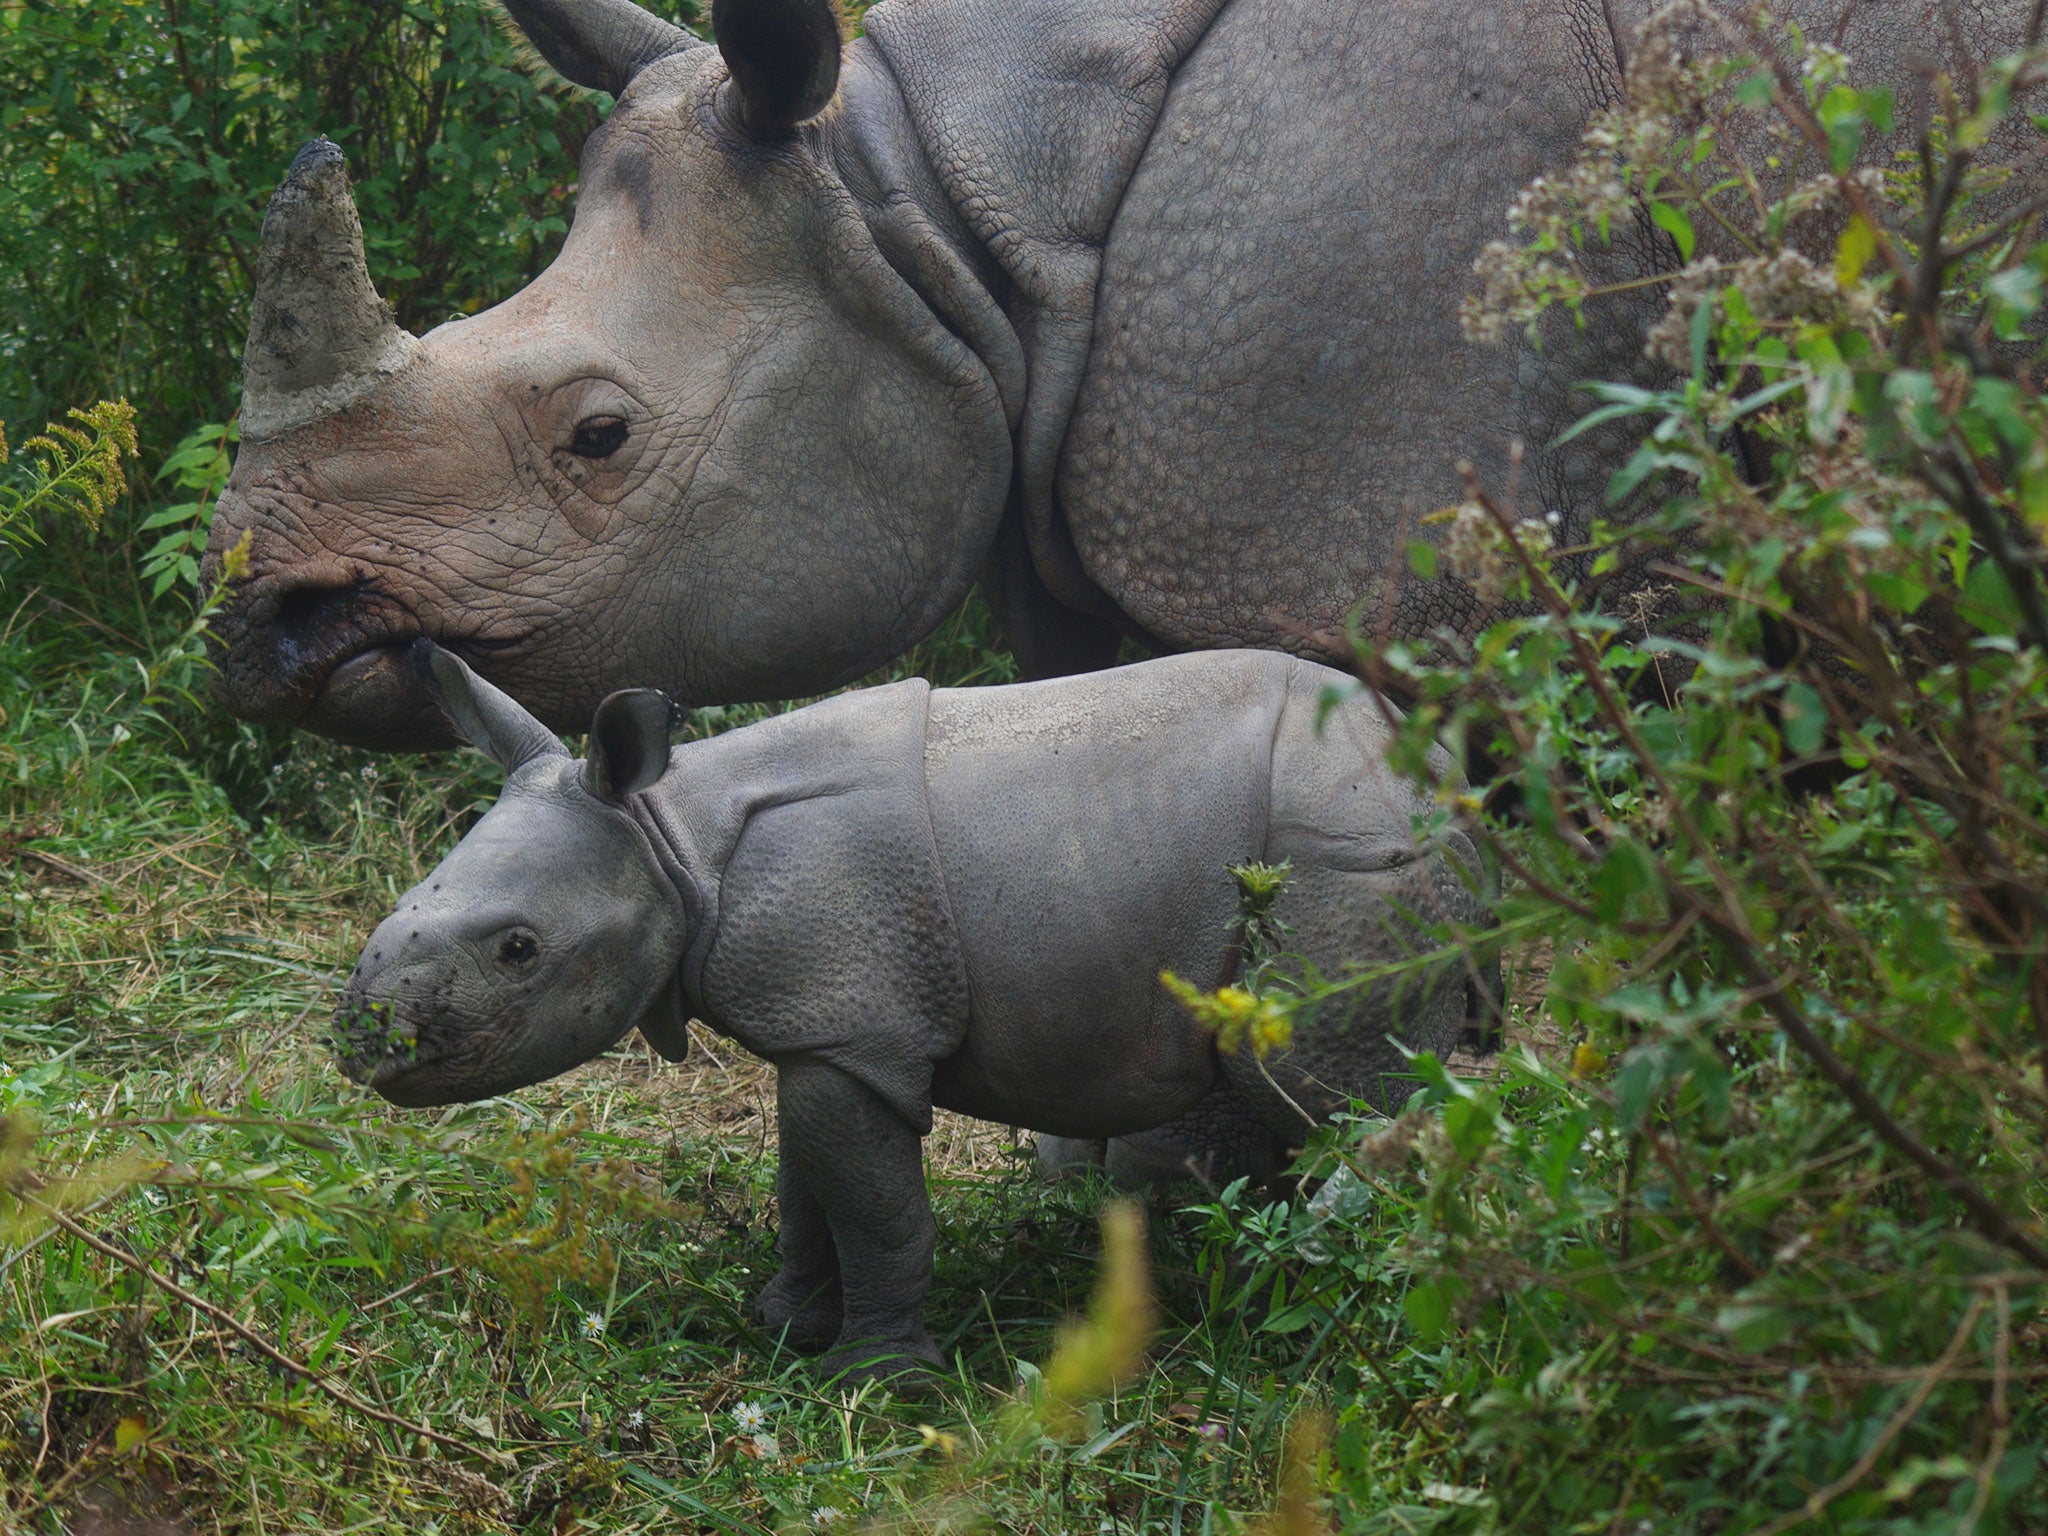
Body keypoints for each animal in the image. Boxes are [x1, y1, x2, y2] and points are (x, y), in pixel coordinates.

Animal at [335, 642, 1490, 1376]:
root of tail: (1431, 777)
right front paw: (785, 1325)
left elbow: (876, 1207)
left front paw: (879, 1381)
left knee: (1314, 1086)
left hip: (1346, 866)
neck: (672, 838)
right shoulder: (831, 1024)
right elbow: (809, 1184)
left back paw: (1343, 1302)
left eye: (518, 950)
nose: (361, 1044)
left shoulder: (855, 1020)